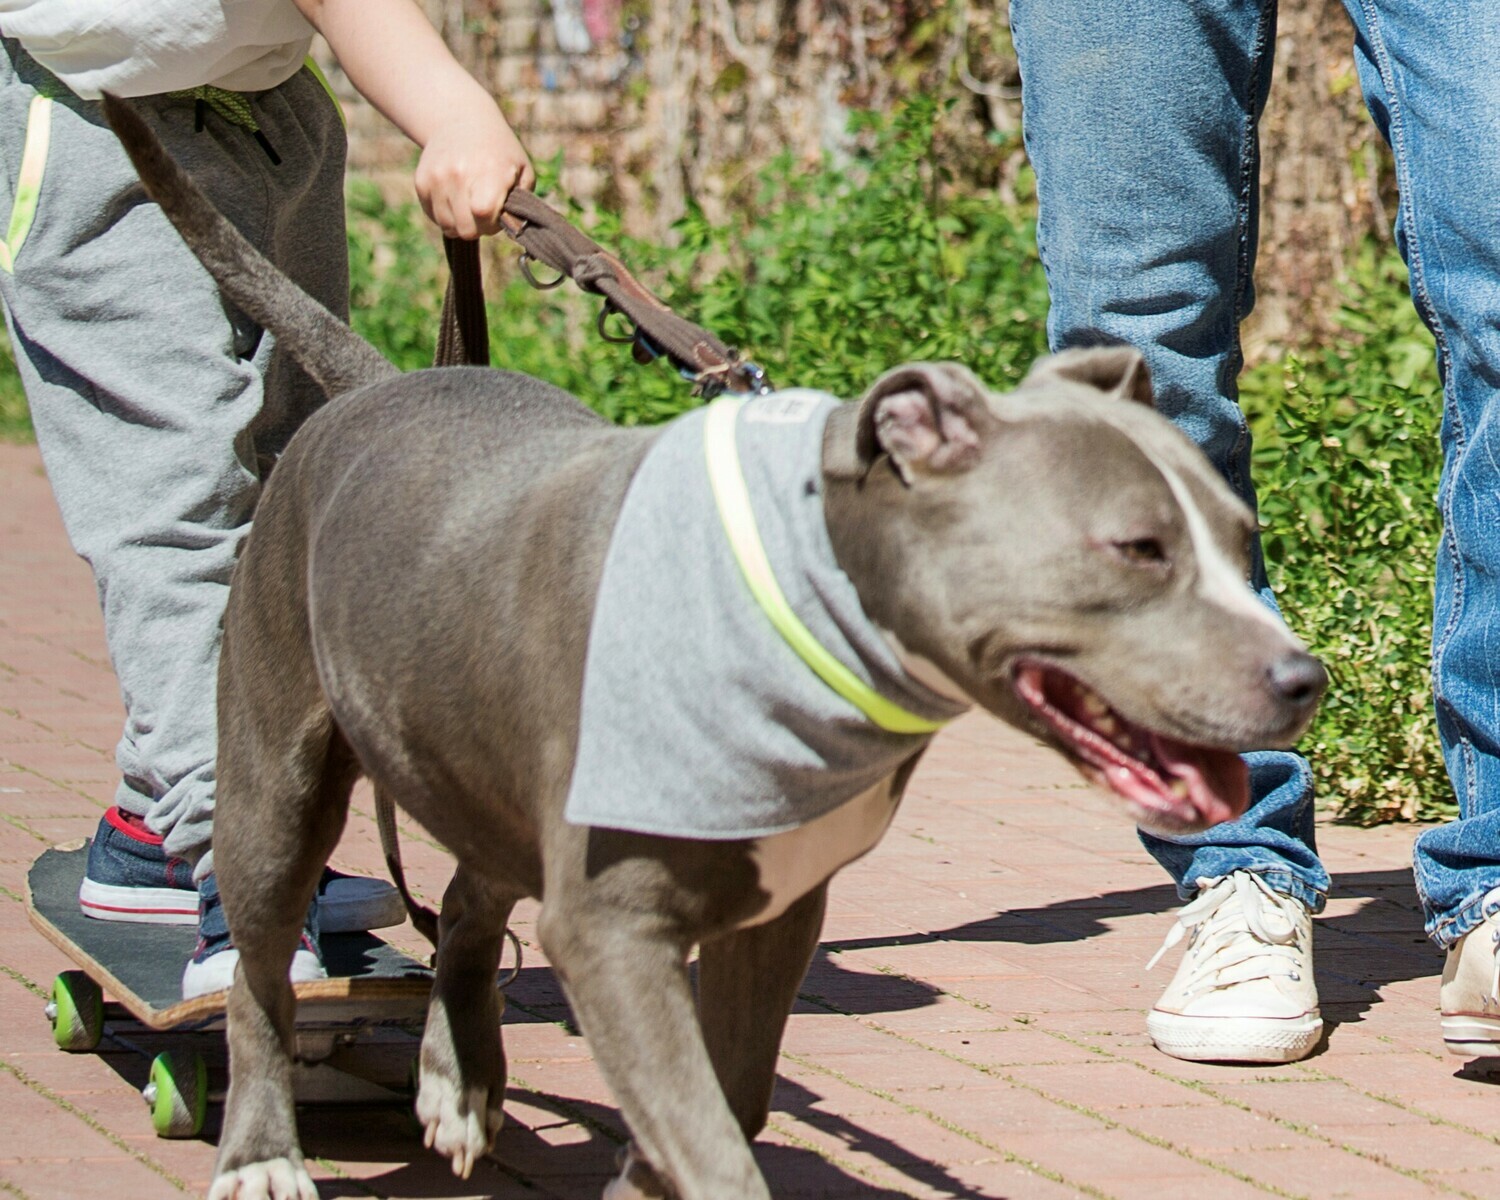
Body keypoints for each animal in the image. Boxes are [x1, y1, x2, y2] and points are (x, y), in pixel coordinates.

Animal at [108, 100, 1326, 1200]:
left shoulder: (774, 912)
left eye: (1240, 540)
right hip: (274, 780)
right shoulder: (613, 928)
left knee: (464, 899)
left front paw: (640, 1172)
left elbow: (729, 1099)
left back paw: (459, 1083)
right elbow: (709, 1135)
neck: (804, 609)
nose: (1304, 679)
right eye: (1137, 549)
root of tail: (378, 384)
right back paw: (261, 1153)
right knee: (261, 975)